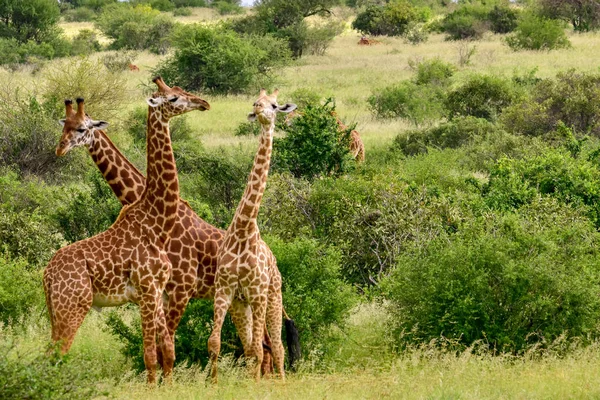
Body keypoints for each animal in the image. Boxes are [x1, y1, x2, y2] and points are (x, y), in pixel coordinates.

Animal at [44, 77, 209, 384]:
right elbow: (150, 355)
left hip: (57, 310)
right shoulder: (147, 291)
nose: (203, 102)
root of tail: (46, 275)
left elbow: (167, 351)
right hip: (73, 306)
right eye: (173, 99)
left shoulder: (157, 291)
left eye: (181, 91)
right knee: (55, 355)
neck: (156, 222)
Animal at [54, 97, 276, 376]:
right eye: (64, 126)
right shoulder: (163, 292)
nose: (60, 149)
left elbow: (164, 344)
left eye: (81, 129)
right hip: (240, 298)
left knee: (266, 344)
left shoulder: (180, 289)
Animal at [209, 89, 298, 382]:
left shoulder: (258, 293)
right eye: (254, 102)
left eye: (275, 105)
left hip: (273, 298)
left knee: (276, 346)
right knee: (252, 346)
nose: (260, 110)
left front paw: (258, 385)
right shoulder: (225, 291)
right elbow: (214, 343)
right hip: (243, 306)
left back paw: (280, 382)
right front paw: (212, 383)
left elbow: (261, 349)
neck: (243, 229)